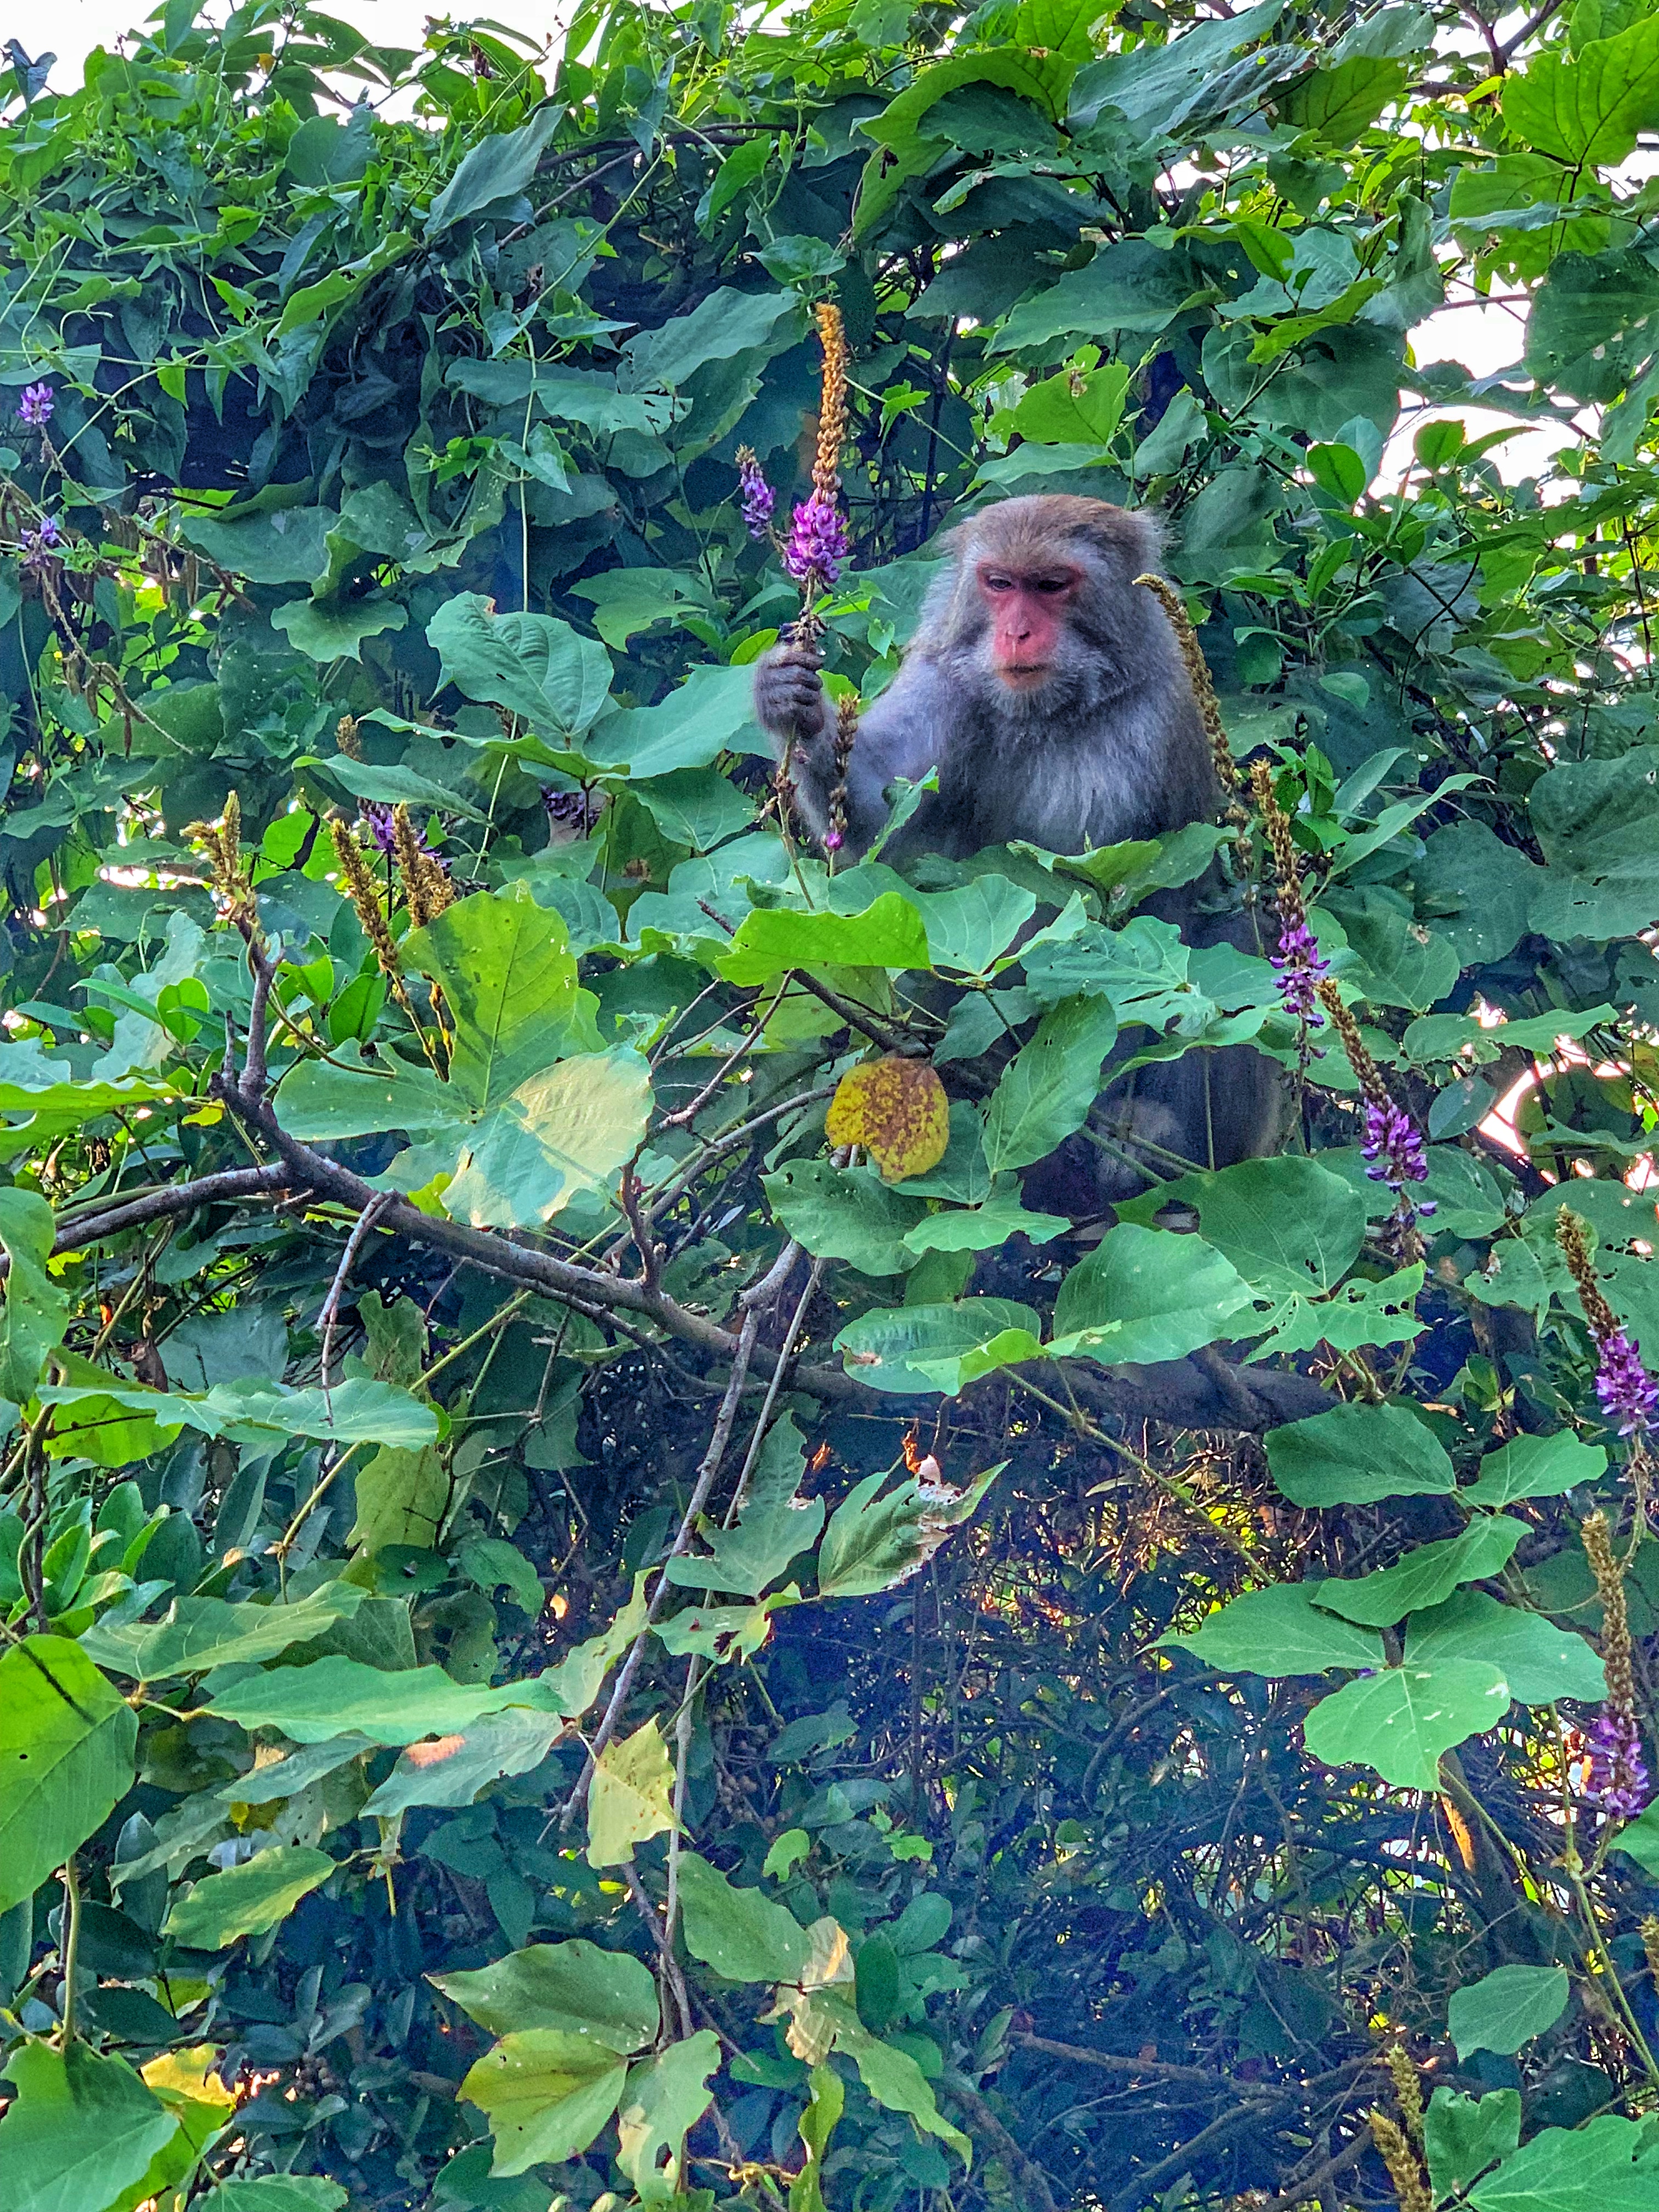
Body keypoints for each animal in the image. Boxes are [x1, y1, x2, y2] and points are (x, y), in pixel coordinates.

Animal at [753, 492, 1287, 1208]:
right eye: (1000, 585)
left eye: (1052, 586)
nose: (1017, 634)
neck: (1054, 712)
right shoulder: (946, 681)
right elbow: (876, 823)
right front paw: (793, 705)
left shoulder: (1167, 714)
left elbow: (1161, 910)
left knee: (1232, 941)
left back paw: (1159, 1142)